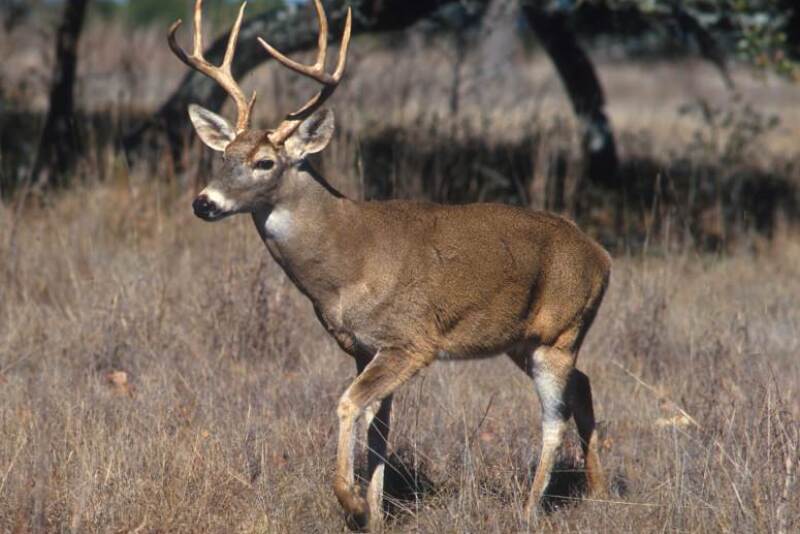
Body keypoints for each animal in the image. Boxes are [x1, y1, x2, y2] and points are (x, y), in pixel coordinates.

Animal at [168, 0, 611, 530]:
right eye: (224, 156)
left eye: (264, 163)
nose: (204, 203)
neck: (347, 263)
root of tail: (602, 256)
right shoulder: (364, 347)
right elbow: (379, 428)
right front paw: (377, 512)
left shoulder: (411, 340)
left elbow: (348, 405)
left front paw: (353, 502)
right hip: (523, 341)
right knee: (582, 387)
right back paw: (600, 490)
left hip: (559, 333)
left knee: (554, 417)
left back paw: (528, 510)